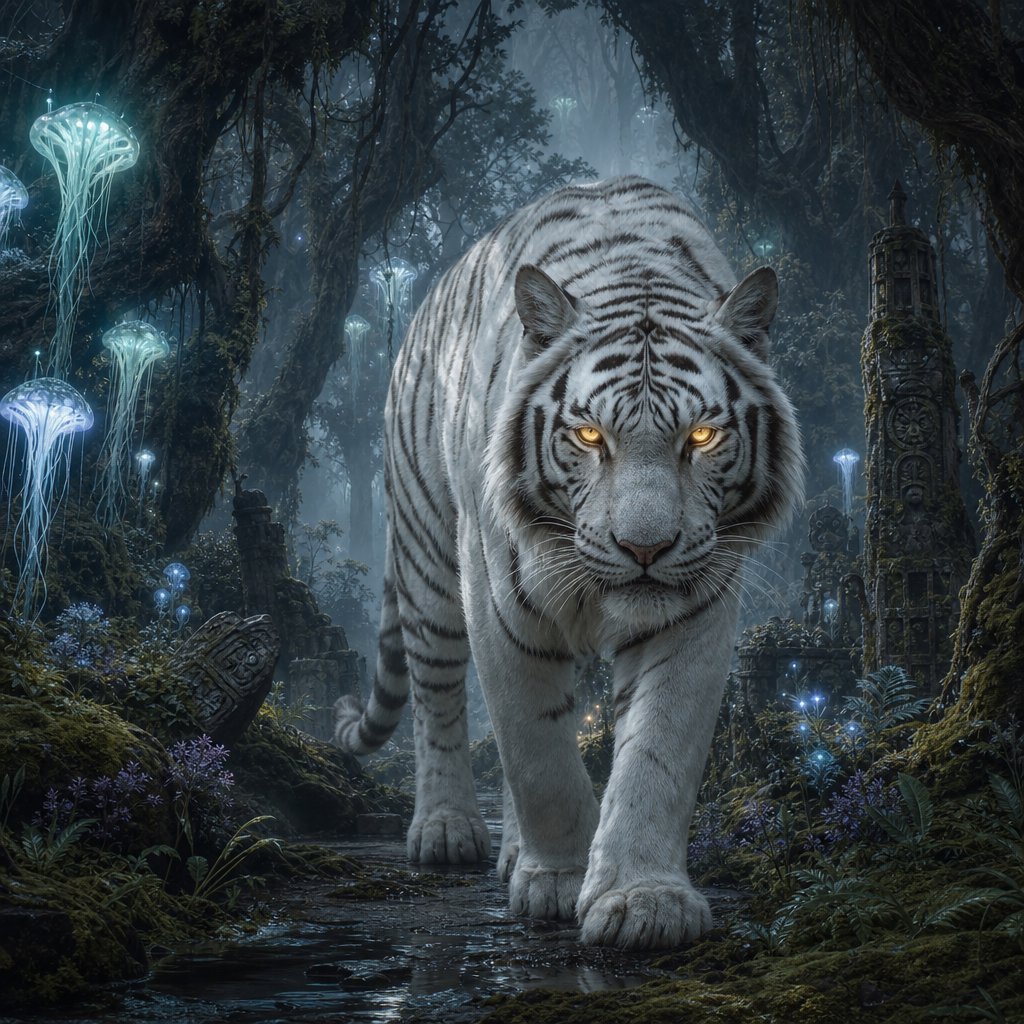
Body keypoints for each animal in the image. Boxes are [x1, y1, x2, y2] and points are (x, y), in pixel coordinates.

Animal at [335, 176, 803, 950]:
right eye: (589, 436)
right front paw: (557, 881)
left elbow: (655, 754)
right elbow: (537, 754)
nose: (645, 548)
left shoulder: (696, 613)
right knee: (438, 701)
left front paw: (643, 900)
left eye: (702, 437)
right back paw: (447, 829)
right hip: (429, 561)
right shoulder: (499, 606)